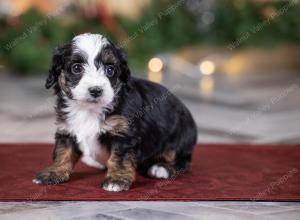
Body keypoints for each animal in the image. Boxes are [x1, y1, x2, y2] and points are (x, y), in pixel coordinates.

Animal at [33, 33, 197, 192]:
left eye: (110, 70)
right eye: (77, 68)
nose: (96, 90)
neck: (89, 109)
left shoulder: (123, 134)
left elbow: (119, 159)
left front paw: (116, 180)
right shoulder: (67, 129)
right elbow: (63, 152)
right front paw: (53, 172)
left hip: (180, 137)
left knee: (182, 160)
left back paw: (160, 168)